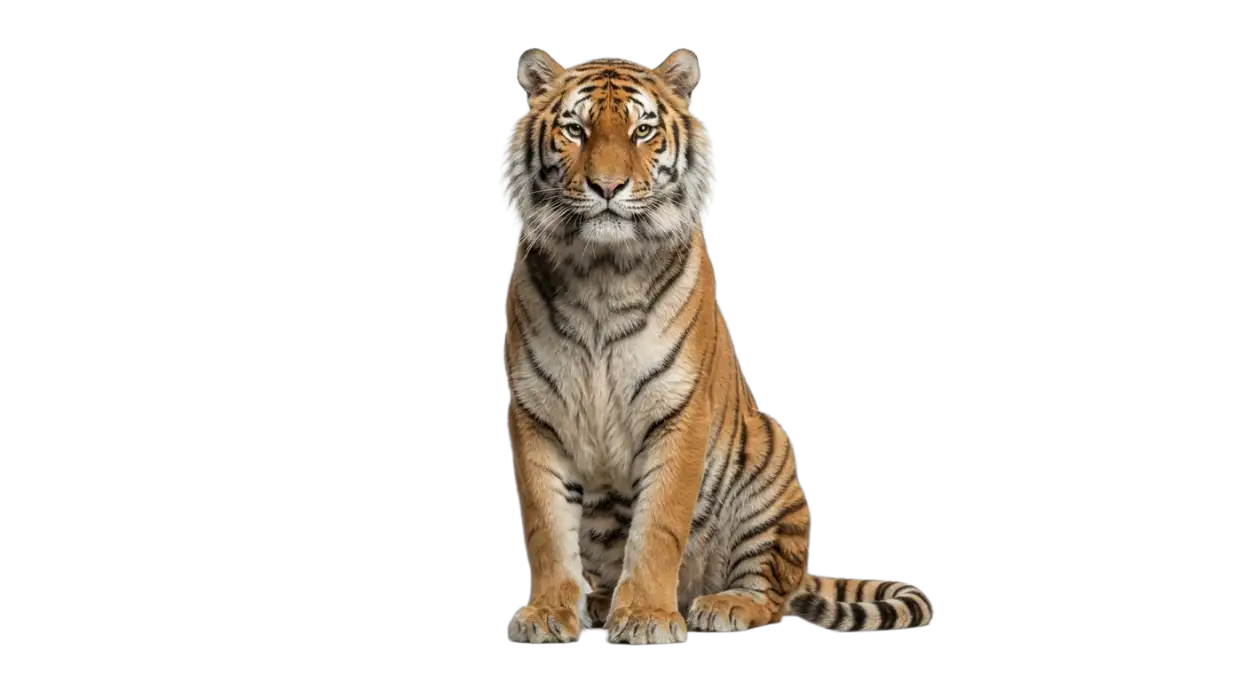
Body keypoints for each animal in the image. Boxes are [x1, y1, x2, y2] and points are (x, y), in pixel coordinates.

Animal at [501, 48, 934, 645]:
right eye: (574, 130)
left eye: (641, 131)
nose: (607, 188)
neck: (602, 274)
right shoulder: (536, 414)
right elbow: (547, 528)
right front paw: (547, 611)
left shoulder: (680, 412)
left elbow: (658, 526)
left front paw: (646, 616)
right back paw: (601, 599)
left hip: (769, 464)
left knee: (771, 595)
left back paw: (721, 604)